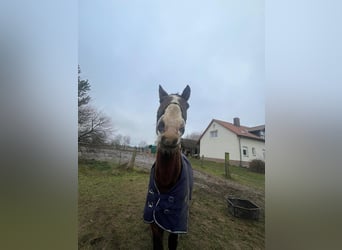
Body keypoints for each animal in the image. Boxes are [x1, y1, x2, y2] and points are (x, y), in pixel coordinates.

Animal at [143, 85, 194, 249]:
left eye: (187, 105)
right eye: (161, 101)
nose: (170, 131)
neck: (166, 182)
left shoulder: (175, 227)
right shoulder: (154, 224)